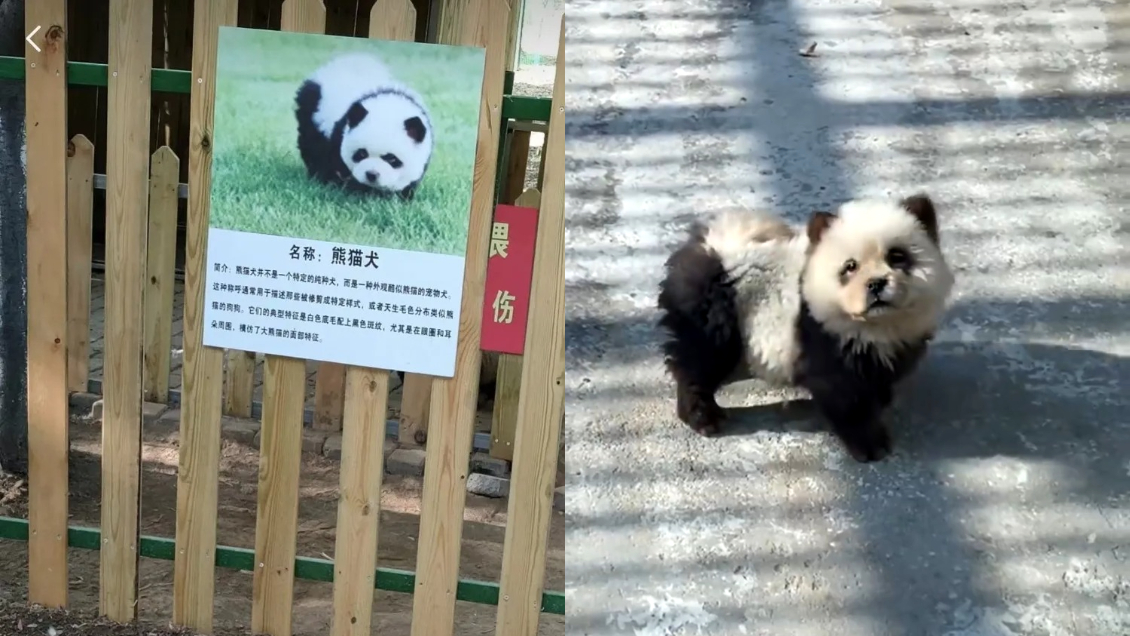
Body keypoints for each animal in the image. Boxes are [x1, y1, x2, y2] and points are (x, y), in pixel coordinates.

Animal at [294, 52, 434, 200]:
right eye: (361, 153)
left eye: (392, 158)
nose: (372, 174)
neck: (390, 107)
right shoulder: (340, 134)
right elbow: (337, 164)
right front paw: (352, 190)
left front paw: (400, 197)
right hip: (312, 110)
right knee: (312, 146)